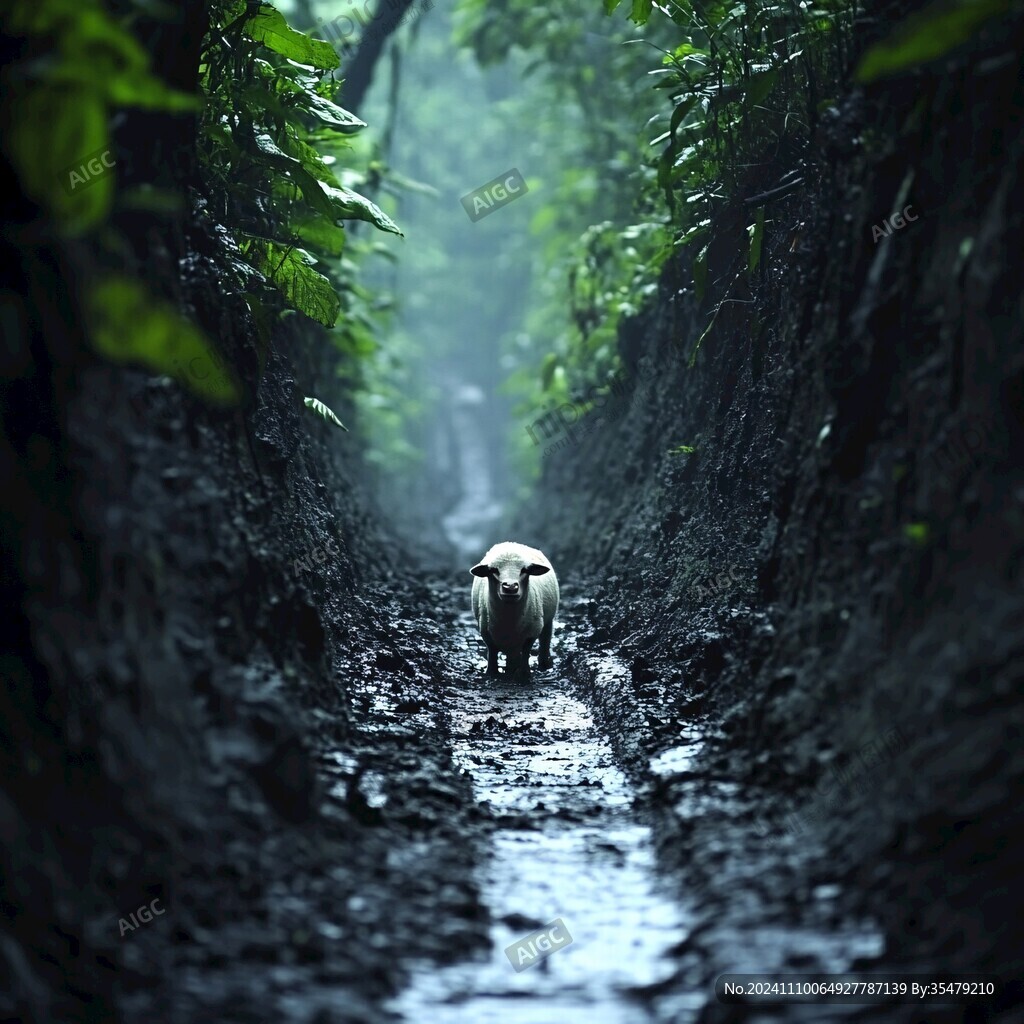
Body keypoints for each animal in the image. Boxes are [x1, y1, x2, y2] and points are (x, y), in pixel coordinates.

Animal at [471, 540, 561, 675]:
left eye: (525, 570)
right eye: (493, 570)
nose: (510, 587)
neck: (509, 618)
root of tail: (512, 543)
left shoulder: (532, 632)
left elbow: (526, 651)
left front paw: (524, 673)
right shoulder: (486, 632)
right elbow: (492, 652)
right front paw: (491, 672)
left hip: (548, 620)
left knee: (545, 640)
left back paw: (544, 664)